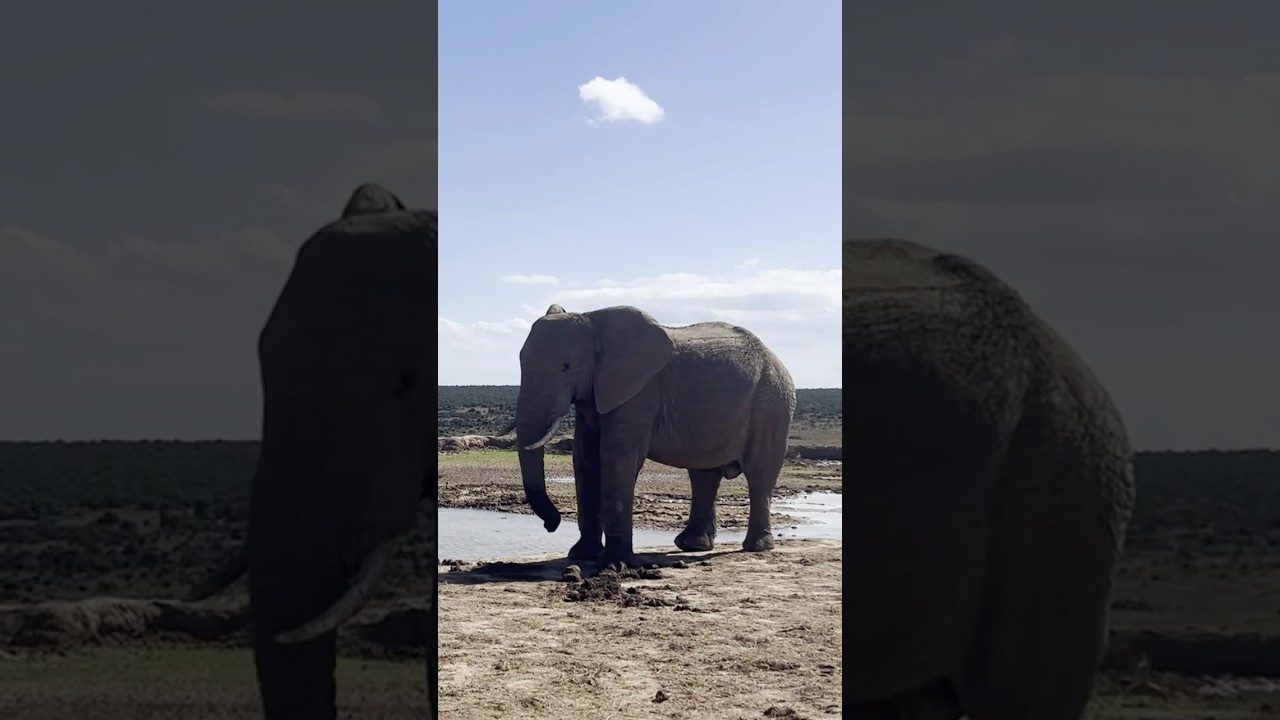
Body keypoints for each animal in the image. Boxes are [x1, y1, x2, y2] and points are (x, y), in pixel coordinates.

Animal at [511, 304, 796, 571]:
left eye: (566, 367)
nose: (551, 525)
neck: (591, 319)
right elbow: (585, 459)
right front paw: (582, 556)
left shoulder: (640, 391)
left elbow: (616, 457)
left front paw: (614, 564)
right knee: (703, 475)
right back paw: (691, 545)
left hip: (771, 403)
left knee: (759, 474)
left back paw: (756, 547)